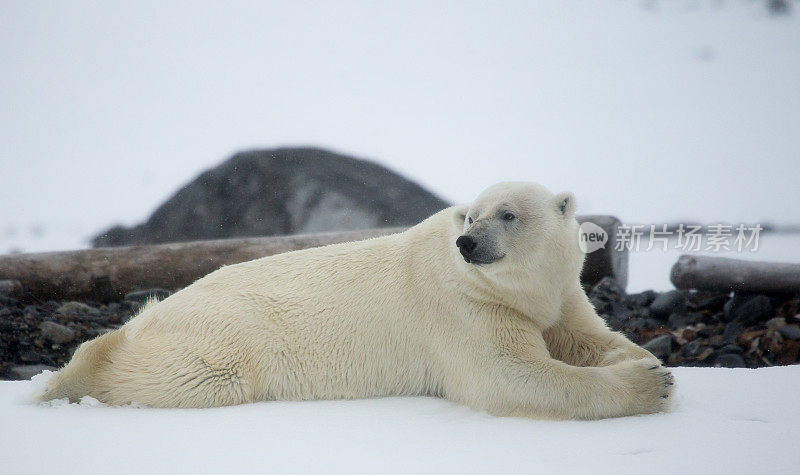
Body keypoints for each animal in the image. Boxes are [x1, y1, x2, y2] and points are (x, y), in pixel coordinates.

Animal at [40, 183, 672, 420]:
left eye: (508, 214)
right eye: (470, 215)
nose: (468, 243)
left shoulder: (562, 294)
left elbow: (586, 337)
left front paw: (644, 358)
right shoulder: (462, 306)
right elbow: (510, 375)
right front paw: (650, 384)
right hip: (216, 340)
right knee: (191, 374)